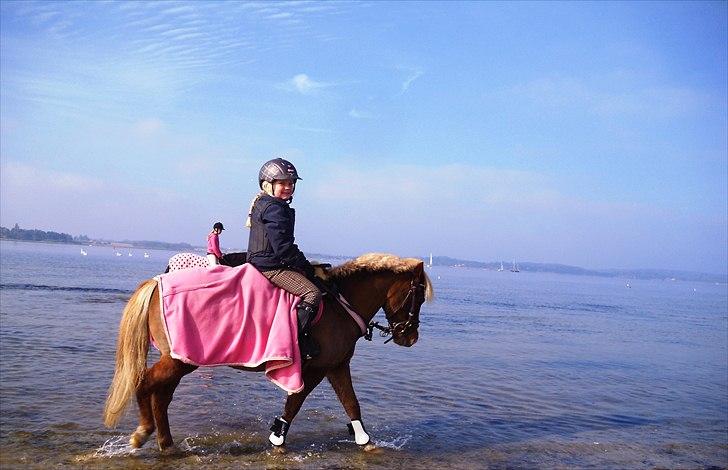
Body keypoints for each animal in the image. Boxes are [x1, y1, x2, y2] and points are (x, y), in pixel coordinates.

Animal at [102, 253, 432, 452]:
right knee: (145, 383)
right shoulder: (316, 368)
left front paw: (364, 440)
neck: (341, 304)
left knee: (161, 395)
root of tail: (157, 283)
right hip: (178, 361)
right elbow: (296, 401)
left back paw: (166, 443)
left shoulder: (337, 365)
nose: (410, 337)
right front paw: (278, 436)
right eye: (417, 296)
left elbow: (351, 403)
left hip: (180, 360)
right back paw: (143, 432)